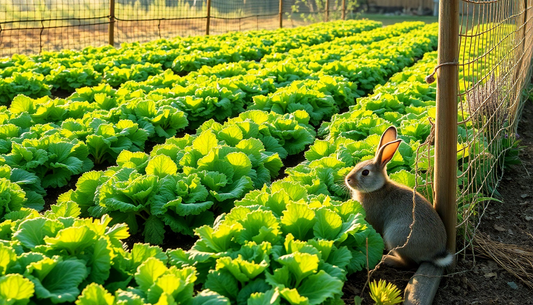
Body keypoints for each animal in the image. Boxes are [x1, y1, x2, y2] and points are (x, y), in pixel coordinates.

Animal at [344, 125, 454, 266]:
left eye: (365, 172)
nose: (348, 179)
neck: (377, 188)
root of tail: (435, 255)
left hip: (396, 237)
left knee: (408, 263)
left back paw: (387, 259)